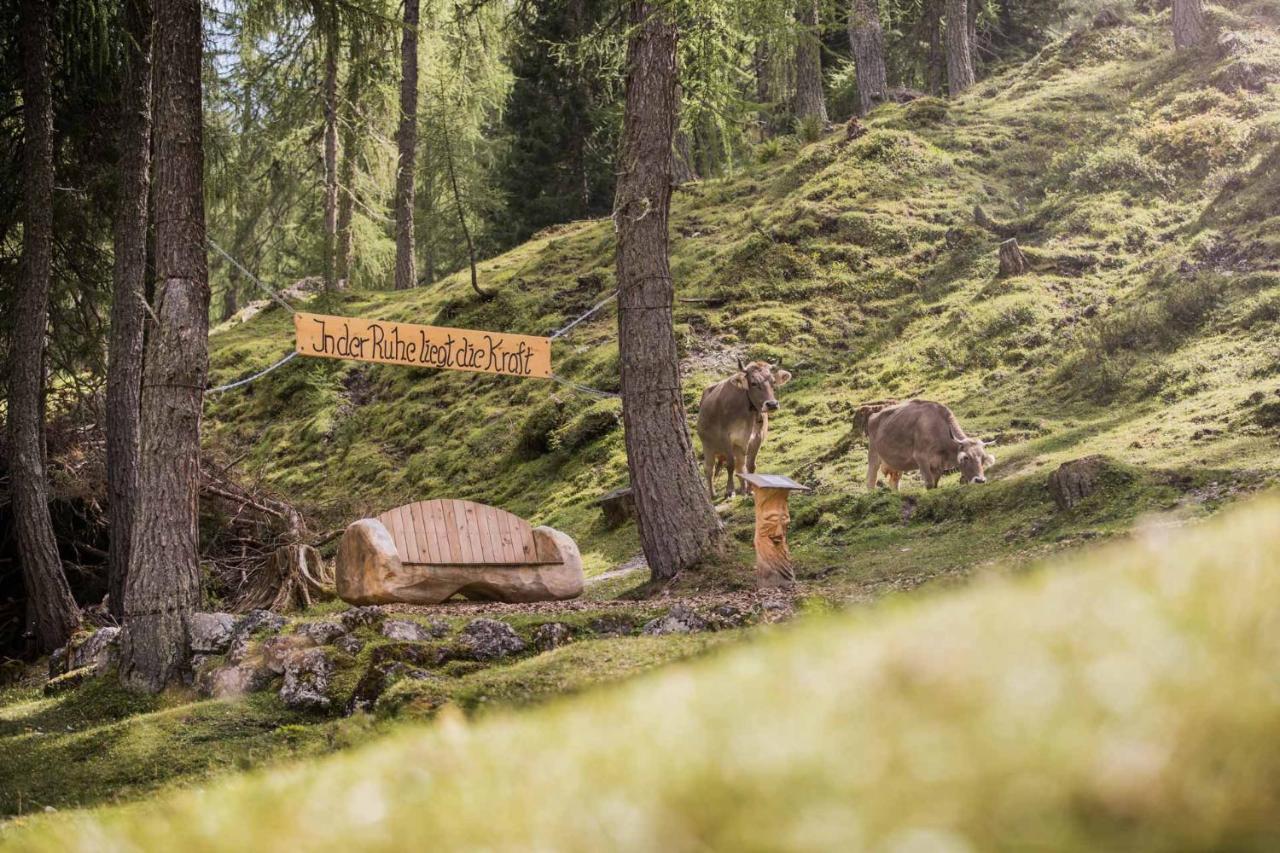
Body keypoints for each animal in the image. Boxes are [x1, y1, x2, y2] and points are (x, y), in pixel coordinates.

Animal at [701, 358, 788, 499]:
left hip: (738, 446)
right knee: (709, 468)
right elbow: (730, 465)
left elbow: (750, 466)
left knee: (740, 467)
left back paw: (743, 489)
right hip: (707, 445)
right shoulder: (725, 437)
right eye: (753, 383)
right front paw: (729, 491)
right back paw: (712, 493)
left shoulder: (757, 437)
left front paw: (751, 490)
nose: (772, 404)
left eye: (773, 382)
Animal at [865, 399, 993, 489]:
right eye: (966, 457)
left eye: (983, 458)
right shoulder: (921, 457)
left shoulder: (938, 464)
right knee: (870, 481)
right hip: (873, 454)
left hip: (896, 463)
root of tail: (873, 416)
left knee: (894, 482)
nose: (980, 480)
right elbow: (929, 484)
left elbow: (935, 484)